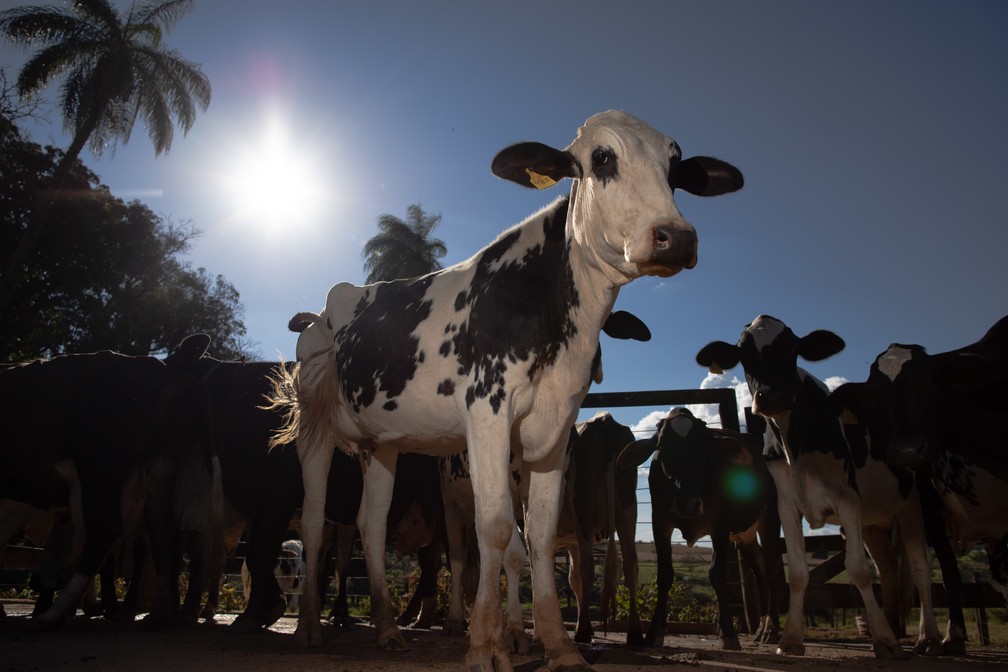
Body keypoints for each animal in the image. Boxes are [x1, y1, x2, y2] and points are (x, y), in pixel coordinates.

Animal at [0, 350, 219, 628]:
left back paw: (55, 613)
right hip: (158, 468)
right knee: (162, 532)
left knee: (106, 528)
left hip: (99, 465)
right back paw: (159, 612)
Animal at [268, 111, 741, 672]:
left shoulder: (554, 430)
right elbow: (493, 529)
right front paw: (486, 644)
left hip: (380, 441)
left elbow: (538, 537)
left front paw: (558, 645)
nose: (676, 237)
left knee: (372, 524)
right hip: (314, 425)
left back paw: (386, 629)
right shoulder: (487, 413)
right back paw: (310, 628)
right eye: (602, 157)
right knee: (315, 523)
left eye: (675, 167)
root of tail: (328, 306)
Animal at [612, 407, 786, 648]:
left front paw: (728, 633)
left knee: (772, 569)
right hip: (745, 533)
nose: (687, 504)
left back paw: (771, 629)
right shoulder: (660, 521)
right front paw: (655, 632)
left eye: (704, 448)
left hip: (769, 517)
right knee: (759, 567)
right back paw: (762, 627)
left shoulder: (720, 524)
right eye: (662, 446)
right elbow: (665, 574)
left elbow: (718, 573)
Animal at [693, 318, 943, 660]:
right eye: (744, 355)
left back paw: (928, 637)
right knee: (889, 568)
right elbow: (796, 572)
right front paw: (790, 639)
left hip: (913, 502)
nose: (772, 397)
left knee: (919, 568)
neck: (795, 441)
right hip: (873, 520)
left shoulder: (847, 499)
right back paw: (890, 629)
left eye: (792, 349)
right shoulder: (787, 504)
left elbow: (858, 569)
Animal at [826, 314, 1008, 652]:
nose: (907, 449)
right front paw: (953, 636)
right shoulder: (933, 511)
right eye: (876, 393)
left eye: (929, 382)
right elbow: (950, 573)